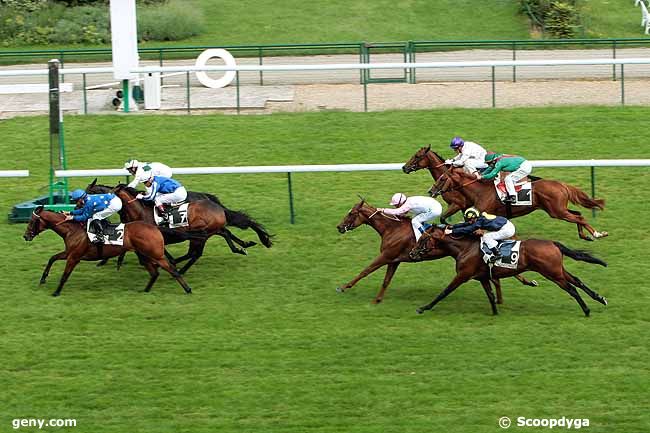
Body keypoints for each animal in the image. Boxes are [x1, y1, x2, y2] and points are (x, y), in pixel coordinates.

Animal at [23, 207, 195, 296]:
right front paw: (43, 279)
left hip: (155, 254)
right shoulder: (69, 253)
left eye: (32, 221)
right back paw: (145, 290)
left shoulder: (74, 257)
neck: (72, 230)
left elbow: (65, 275)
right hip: (143, 254)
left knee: (172, 269)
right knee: (155, 273)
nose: (25, 236)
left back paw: (187, 289)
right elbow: (52, 258)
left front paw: (56, 292)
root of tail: (155, 227)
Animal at [109, 185, 270, 274]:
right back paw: (243, 246)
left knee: (196, 252)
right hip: (207, 231)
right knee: (222, 234)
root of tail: (215, 205)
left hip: (202, 233)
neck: (141, 212)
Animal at [334, 199, 536, 304]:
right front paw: (377, 299)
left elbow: (365, 271)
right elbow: (386, 280)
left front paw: (344, 286)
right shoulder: (394, 260)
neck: (391, 228)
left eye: (351, 213)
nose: (339, 227)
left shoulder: (386, 256)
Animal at [408, 228, 604, 316]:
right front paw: (495, 312)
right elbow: (490, 295)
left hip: (551, 273)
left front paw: (424, 307)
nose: (411, 253)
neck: (465, 248)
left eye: (423, 239)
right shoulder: (482, 277)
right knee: (577, 280)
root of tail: (553, 243)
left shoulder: (462, 275)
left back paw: (586, 310)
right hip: (558, 269)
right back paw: (600, 298)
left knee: (571, 288)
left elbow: (444, 292)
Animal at [430, 166, 608, 240]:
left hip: (556, 211)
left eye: (442, 178)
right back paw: (585, 235)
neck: (480, 190)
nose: (431, 191)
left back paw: (597, 234)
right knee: (578, 214)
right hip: (558, 209)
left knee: (579, 217)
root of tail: (561, 185)